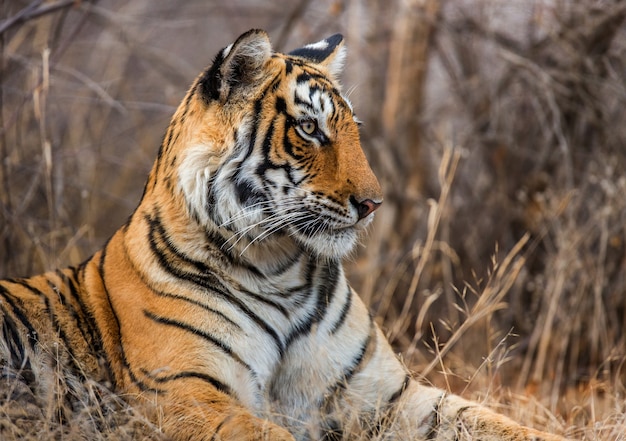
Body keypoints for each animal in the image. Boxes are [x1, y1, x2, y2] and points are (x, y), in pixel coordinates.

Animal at [0, 29, 564, 438]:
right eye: (310, 128)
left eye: (354, 128)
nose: (373, 204)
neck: (279, 269)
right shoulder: (186, 395)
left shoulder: (385, 395)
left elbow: (493, 421)